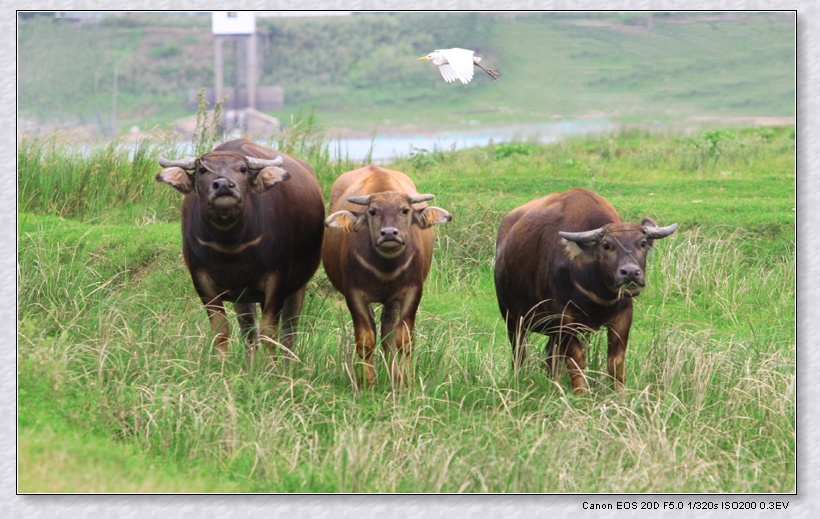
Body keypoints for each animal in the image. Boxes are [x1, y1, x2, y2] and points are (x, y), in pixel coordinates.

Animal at [155, 139, 326, 366]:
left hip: (298, 285)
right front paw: (221, 366)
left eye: (243, 169)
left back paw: (287, 365)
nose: (223, 185)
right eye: (202, 170)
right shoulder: (203, 283)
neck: (230, 244)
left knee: (289, 330)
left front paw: (271, 368)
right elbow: (222, 331)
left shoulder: (277, 281)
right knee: (249, 331)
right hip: (243, 296)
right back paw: (249, 365)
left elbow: (269, 333)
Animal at [322, 165, 452, 388]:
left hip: (392, 301)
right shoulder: (354, 294)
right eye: (373, 212)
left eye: (405, 210)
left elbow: (403, 340)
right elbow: (365, 340)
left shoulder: (411, 292)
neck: (386, 267)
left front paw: (404, 381)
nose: (389, 233)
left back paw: (395, 376)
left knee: (388, 334)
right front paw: (368, 382)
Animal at [494, 189, 680, 392]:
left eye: (643, 243)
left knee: (551, 358)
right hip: (513, 319)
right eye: (606, 245)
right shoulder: (565, 319)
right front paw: (581, 393)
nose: (630, 272)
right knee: (520, 354)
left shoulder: (623, 316)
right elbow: (577, 359)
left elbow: (616, 362)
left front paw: (619, 396)